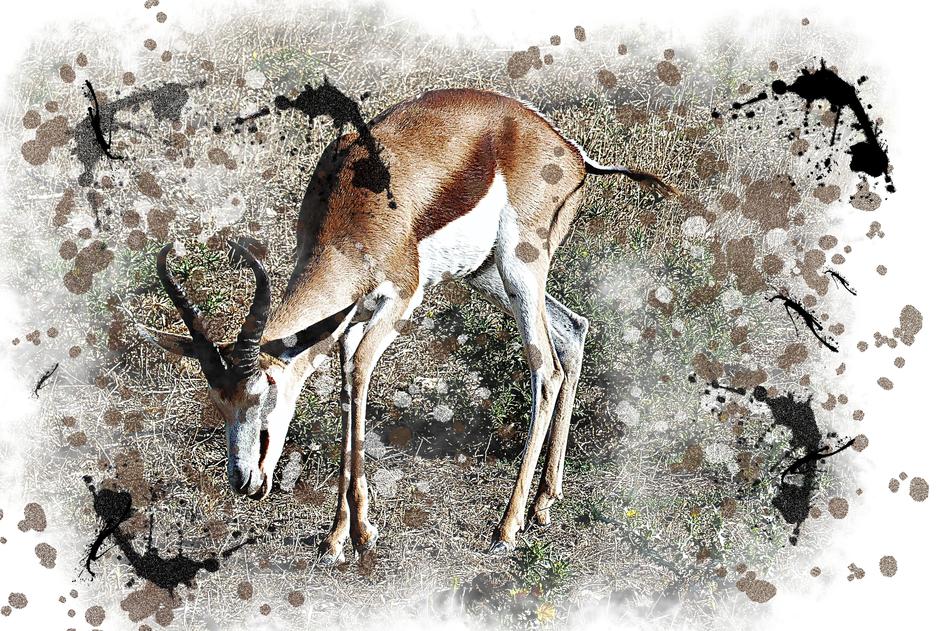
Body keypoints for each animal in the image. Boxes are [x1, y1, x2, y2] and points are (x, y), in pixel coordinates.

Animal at [139, 87, 676, 564]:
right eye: (218, 400)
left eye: (264, 388)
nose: (243, 480)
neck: (350, 210)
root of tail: (573, 153)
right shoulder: (349, 319)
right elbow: (347, 388)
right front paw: (337, 539)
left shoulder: (401, 297)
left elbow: (358, 374)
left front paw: (361, 535)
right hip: (487, 274)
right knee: (574, 330)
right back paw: (545, 504)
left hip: (519, 265)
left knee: (546, 368)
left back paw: (507, 527)